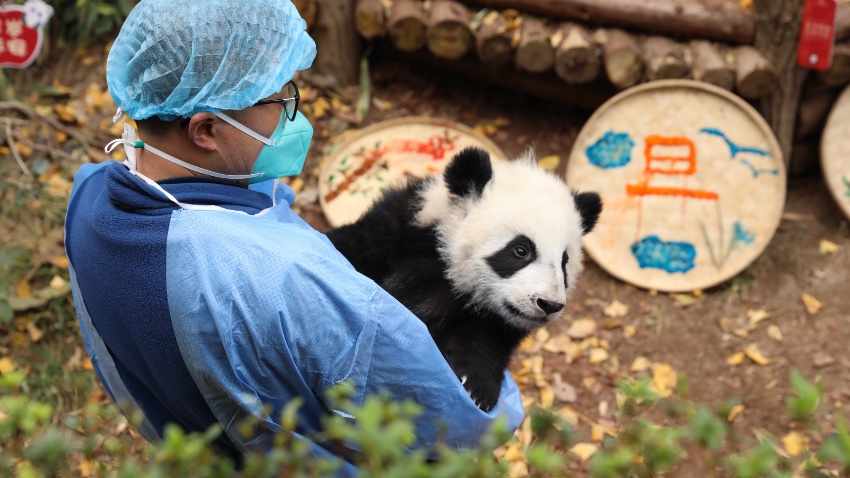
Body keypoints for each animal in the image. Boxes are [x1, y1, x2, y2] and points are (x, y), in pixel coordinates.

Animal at [326, 147, 602, 412]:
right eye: (521, 250)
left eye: (564, 261)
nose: (549, 304)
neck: (451, 275)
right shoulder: (401, 226)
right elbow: (356, 243)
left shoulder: (489, 320)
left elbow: (486, 343)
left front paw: (476, 388)